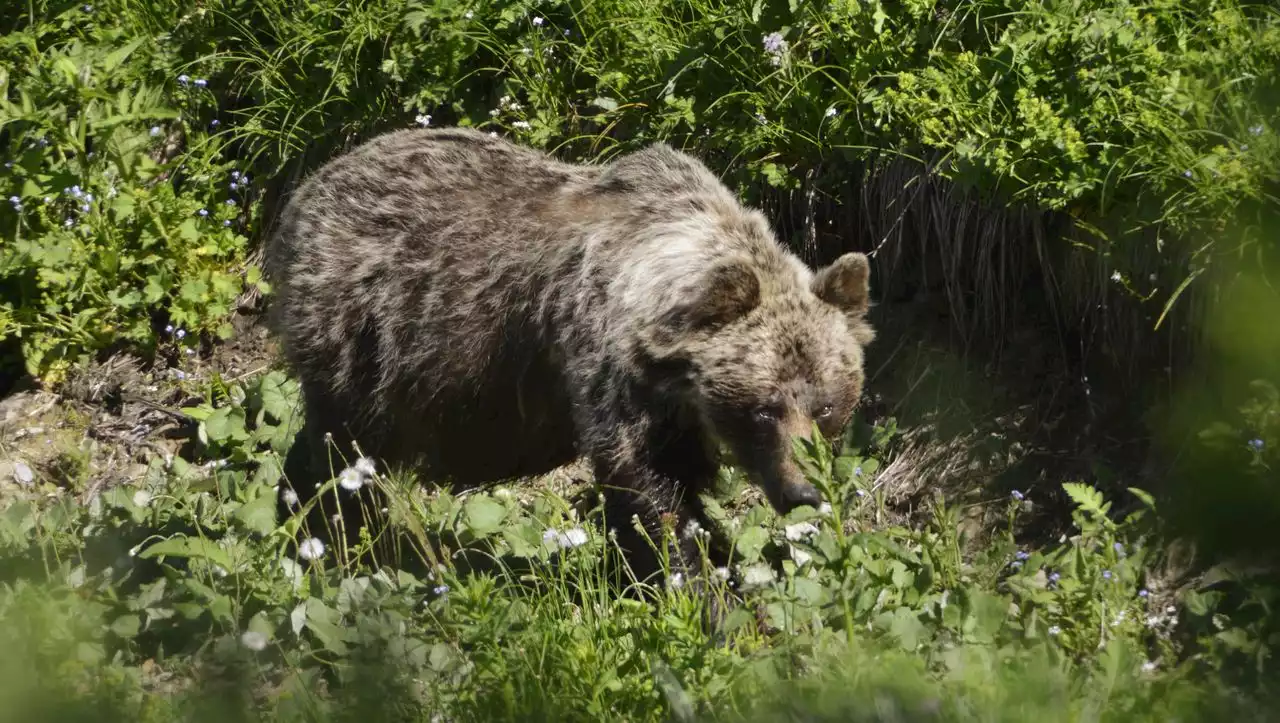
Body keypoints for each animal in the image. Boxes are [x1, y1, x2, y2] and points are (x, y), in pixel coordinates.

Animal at [264, 124, 875, 586]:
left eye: (825, 406)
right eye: (763, 408)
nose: (804, 492)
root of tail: (306, 190)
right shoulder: (607, 366)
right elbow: (650, 489)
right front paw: (698, 585)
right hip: (365, 335)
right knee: (341, 452)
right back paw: (327, 539)